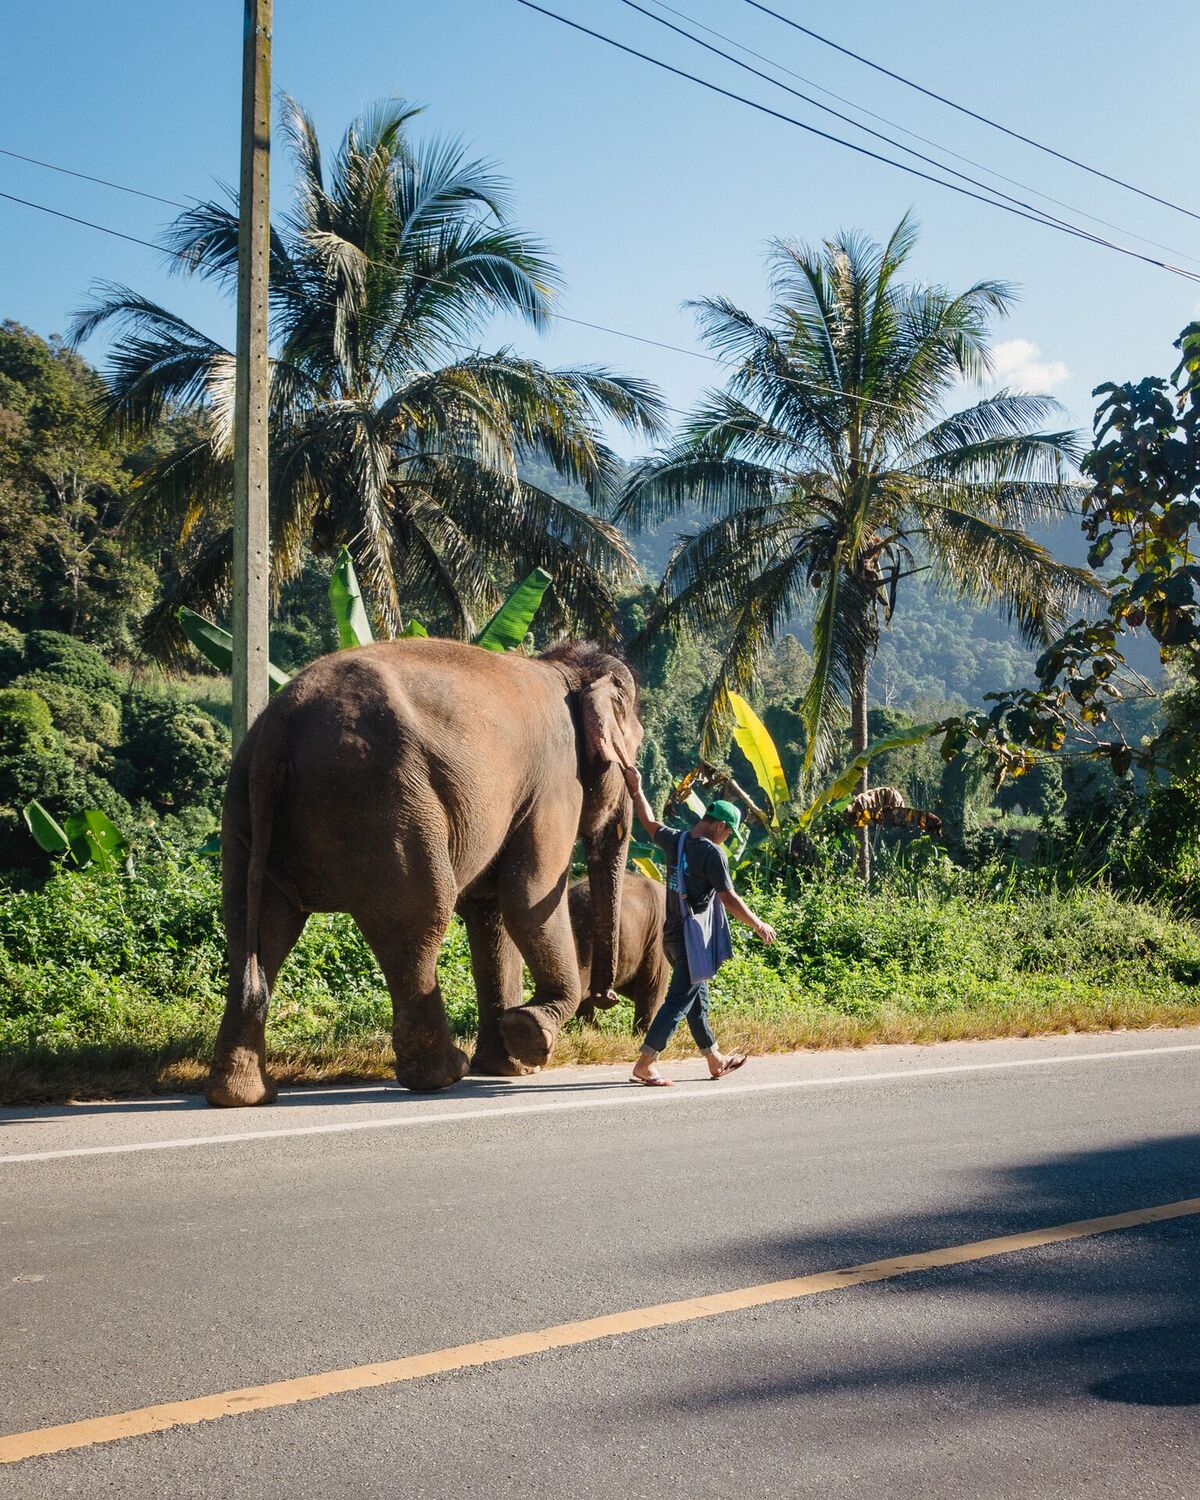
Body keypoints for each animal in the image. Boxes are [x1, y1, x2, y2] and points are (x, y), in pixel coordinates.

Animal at [207, 639, 642, 1110]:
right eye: (634, 756)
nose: (606, 997)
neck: (563, 667)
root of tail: (281, 723)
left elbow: (489, 912)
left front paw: (508, 1066)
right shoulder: (556, 782)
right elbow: (527, 895)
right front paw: (531, 1035)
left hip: (246, 808)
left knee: (256, 928)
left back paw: (241, 1095)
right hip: (380, 801)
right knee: (418, 920)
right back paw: (444, 1073)